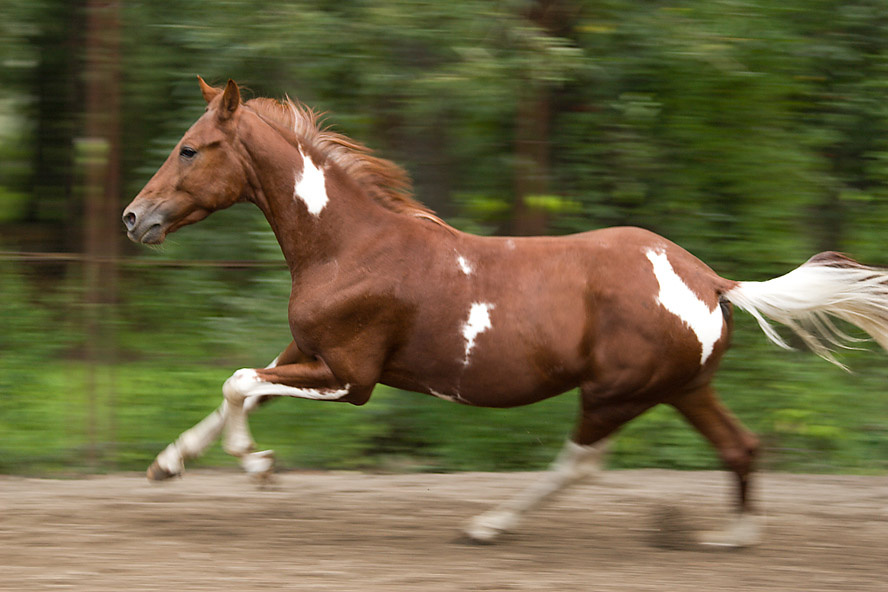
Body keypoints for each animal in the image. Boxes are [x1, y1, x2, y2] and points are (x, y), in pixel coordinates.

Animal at [123, 78, 888, 547]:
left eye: (190, 148)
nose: (134, 218)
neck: (350, 245)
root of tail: (709, 280)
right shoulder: (305, 354)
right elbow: (237, 388)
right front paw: (167, 464)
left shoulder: (351, 377)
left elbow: (237, 385)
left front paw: (259, 467)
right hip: (685, 388)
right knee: (740, 447)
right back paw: (732, 536)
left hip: (615, 392)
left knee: (580, 464)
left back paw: (488, 525)